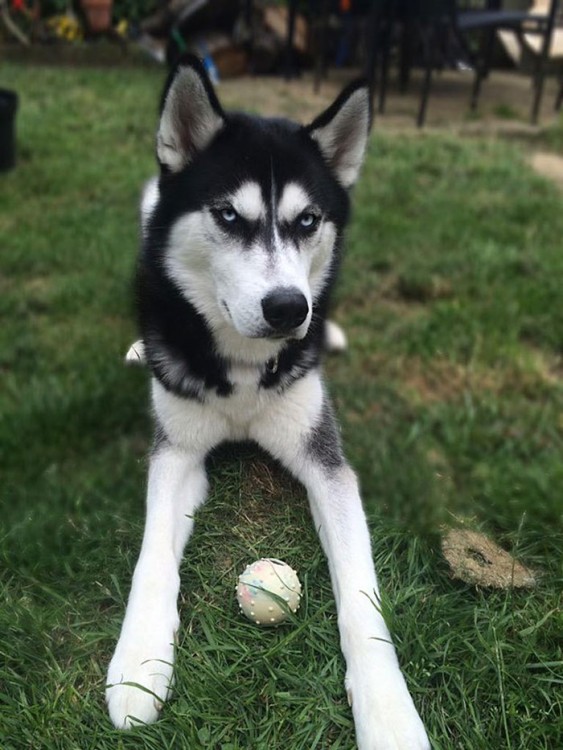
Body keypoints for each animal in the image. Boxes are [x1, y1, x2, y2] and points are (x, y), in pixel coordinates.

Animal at [106, 54, 430, 750]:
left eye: (307, 221)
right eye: (229, 216)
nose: (289, 309)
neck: (244, 369)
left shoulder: (326, 462)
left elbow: (361, 591)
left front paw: (389, 713)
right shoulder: (176, 453)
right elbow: (152, 555)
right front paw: (139, 661)